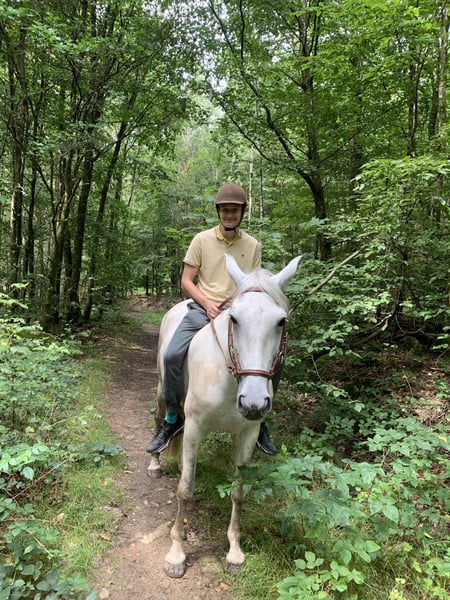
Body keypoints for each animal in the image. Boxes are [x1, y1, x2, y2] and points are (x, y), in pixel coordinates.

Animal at [147, 253, 301, 578]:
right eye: (235, 319)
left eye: (281, 321)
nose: (253, 402)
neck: (230, 379)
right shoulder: (195, 427)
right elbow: (185, 489)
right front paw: (176, 554)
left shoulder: (247, 434)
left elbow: (238, 492)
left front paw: (234, 552)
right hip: (161, 387)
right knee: (160, 417)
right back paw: (155, 459)